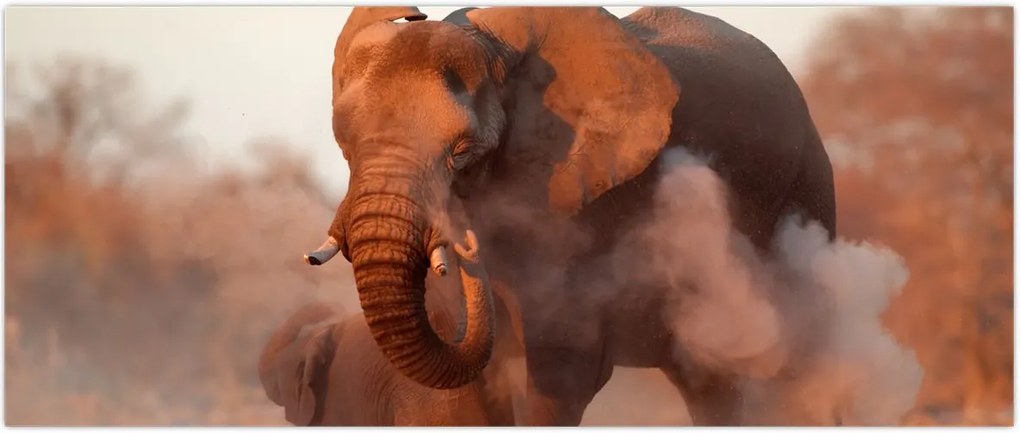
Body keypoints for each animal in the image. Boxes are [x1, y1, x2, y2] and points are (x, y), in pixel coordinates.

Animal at [304, 6, 836, 426]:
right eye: (345, 143)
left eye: (462, 152)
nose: (467, 245)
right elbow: (474, 384)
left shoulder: (589, 208)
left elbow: (562, 369)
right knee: (706, 381)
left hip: (805, 191)